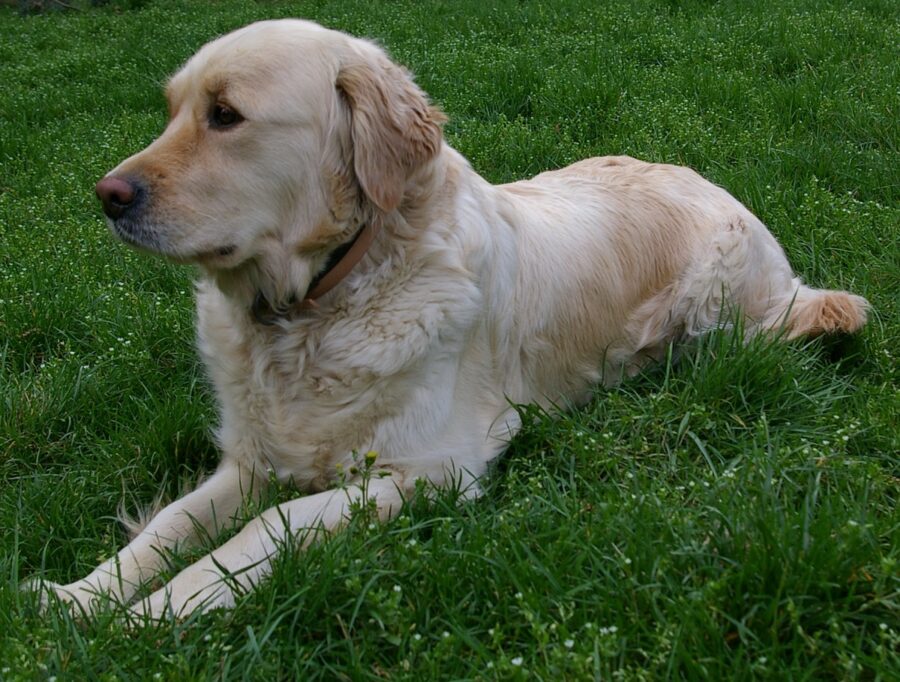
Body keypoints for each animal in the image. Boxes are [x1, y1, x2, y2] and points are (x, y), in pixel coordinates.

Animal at [33, 19, 864, 616]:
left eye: (226, 115)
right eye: (173, 110)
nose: (107, 196)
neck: (316, 308)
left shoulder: (433, 467)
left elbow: (263, 530)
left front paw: (156, 615)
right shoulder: (249, 460)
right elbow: (171, 523)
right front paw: (81, 598)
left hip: (717, 305)